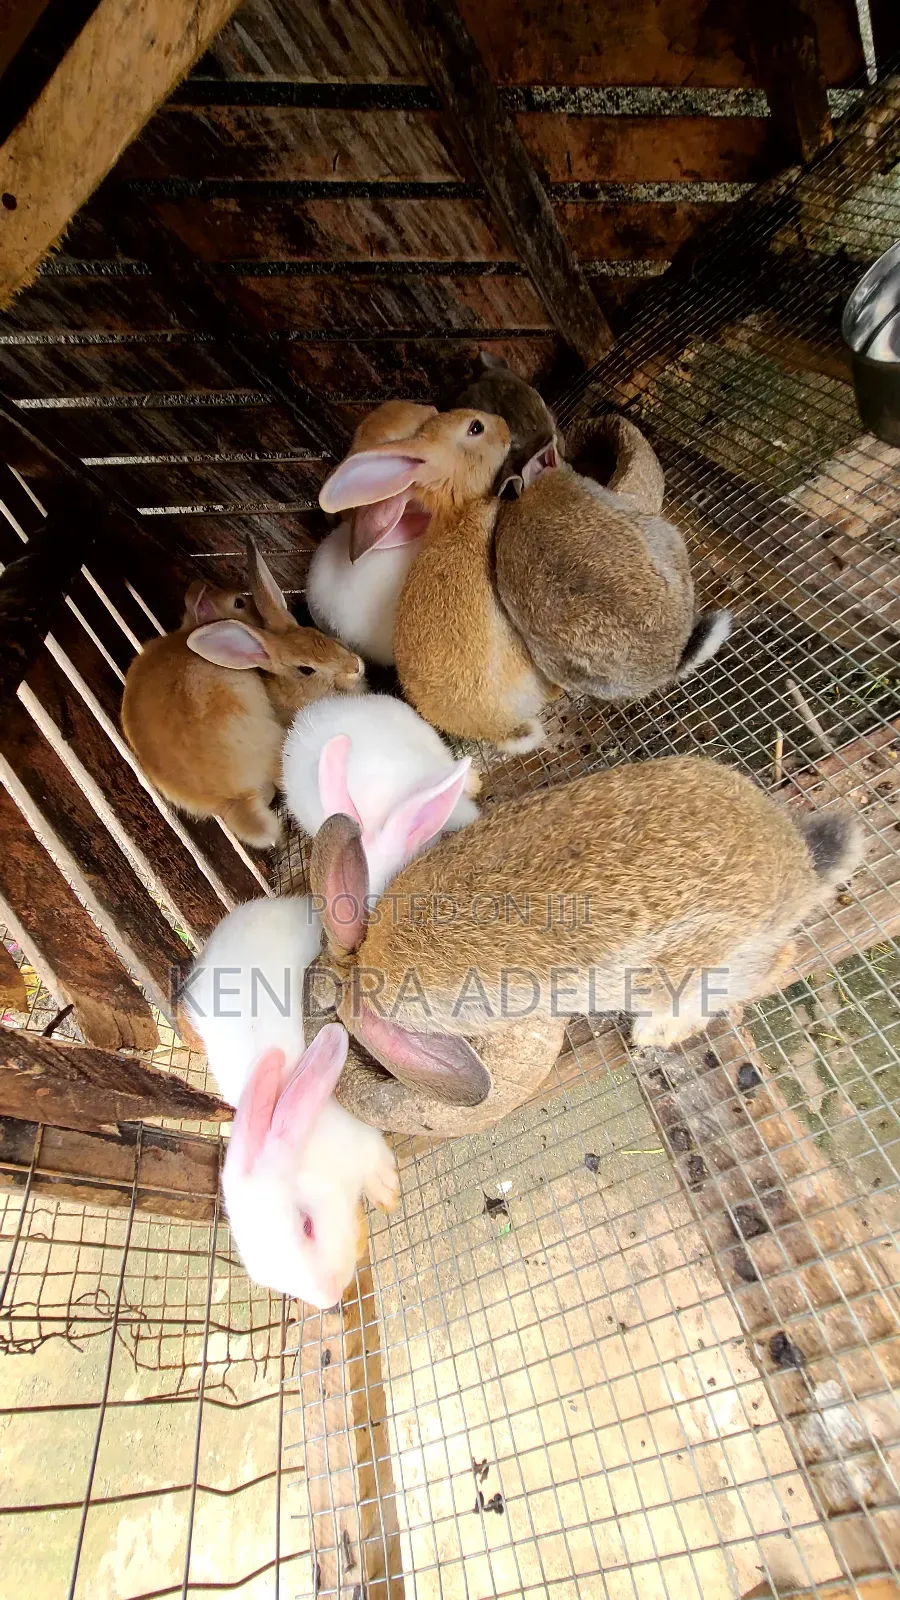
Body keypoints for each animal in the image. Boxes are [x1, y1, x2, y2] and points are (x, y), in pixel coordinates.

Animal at [309, 757, 862, 1108]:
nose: (309, 993)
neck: (362, 961)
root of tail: (800, 875)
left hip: (688, 966)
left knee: (771, 964)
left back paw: (656, 1032)